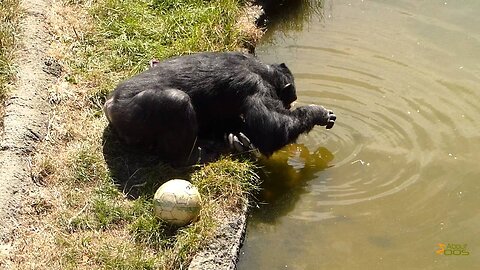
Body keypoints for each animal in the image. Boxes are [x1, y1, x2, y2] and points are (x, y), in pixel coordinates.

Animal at [103, 50, 336, 165]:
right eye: (289, 100)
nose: (288, 104)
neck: (261, 69)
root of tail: (109, 103)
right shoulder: (256, 87)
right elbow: (271, 129)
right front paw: (318, 112)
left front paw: (237, 138)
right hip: (130, 116)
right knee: (177, 101)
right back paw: (192, 157)